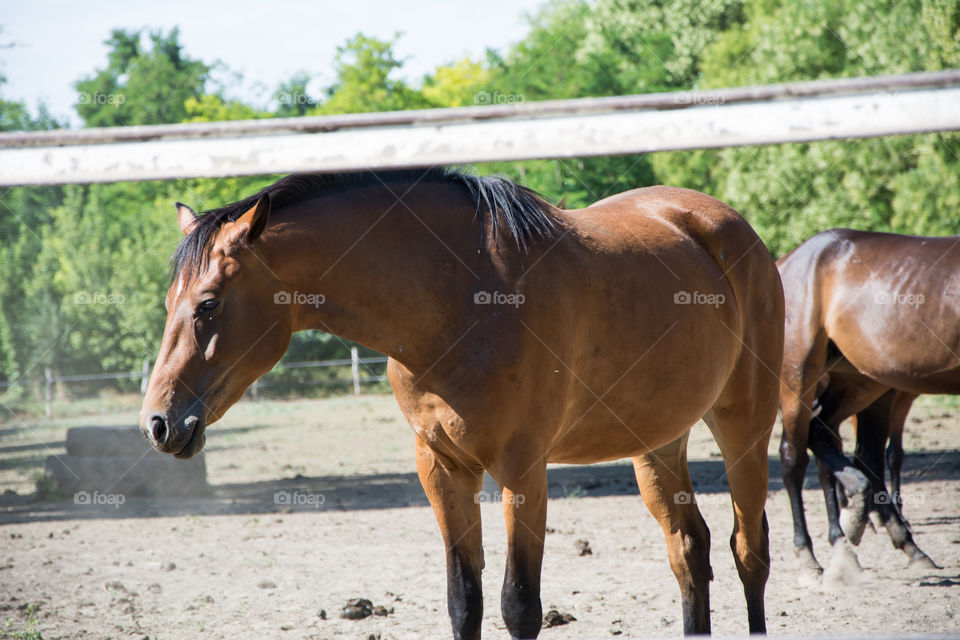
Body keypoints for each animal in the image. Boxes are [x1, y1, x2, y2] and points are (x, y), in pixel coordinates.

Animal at [140, 168, 783, 638]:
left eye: (208, 303)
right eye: (171, 301)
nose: (159, 422)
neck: (460, 299)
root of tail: (726, 227)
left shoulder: (522, 469)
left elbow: (519, 605)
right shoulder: (443, 467)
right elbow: (463, 600)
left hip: (744, 428)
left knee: (749, 551)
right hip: (658, 443)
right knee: (689, 550)